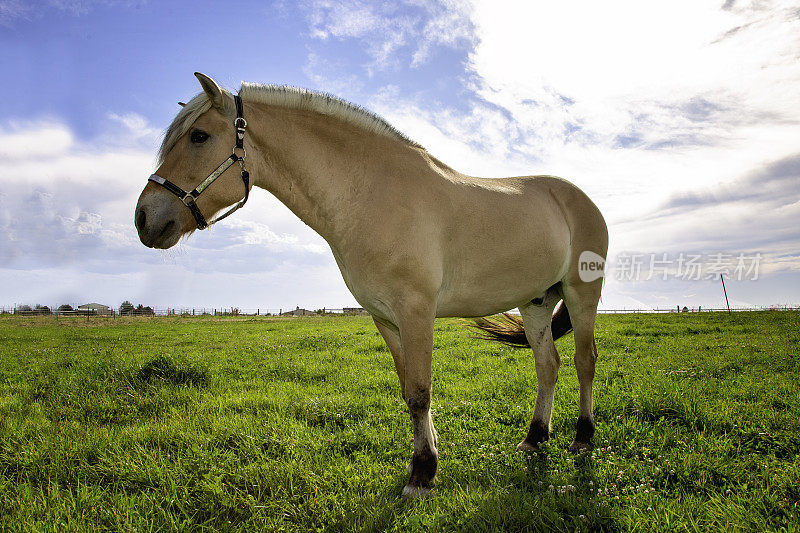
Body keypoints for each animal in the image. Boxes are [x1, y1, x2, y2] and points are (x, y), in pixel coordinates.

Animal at [136, 70, 608, 498]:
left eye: (199, 136)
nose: (144, 218)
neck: (372, 194)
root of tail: (581, 199)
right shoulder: (385, 318)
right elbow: (407, 390)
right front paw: (425, 459)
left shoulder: (417, 313)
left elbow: (420, 391)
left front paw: (422, 475)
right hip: (535, 302)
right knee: (548, 365)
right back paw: (534, 438)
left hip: (582, 295)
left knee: (584, 361)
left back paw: (582, 438)